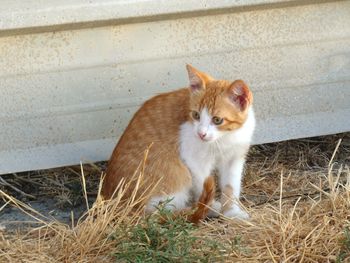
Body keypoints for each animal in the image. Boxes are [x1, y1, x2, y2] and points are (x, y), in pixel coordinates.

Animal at [101, 65, 254, 222]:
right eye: (196, 115)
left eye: (217, 120)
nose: (201, 134)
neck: (224, 138)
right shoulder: (193, 158)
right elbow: (202, 185)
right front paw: (209, 207)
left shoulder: (234, 158)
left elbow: (231, 186)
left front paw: (231, 212)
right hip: (176, 175)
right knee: (158, 212)